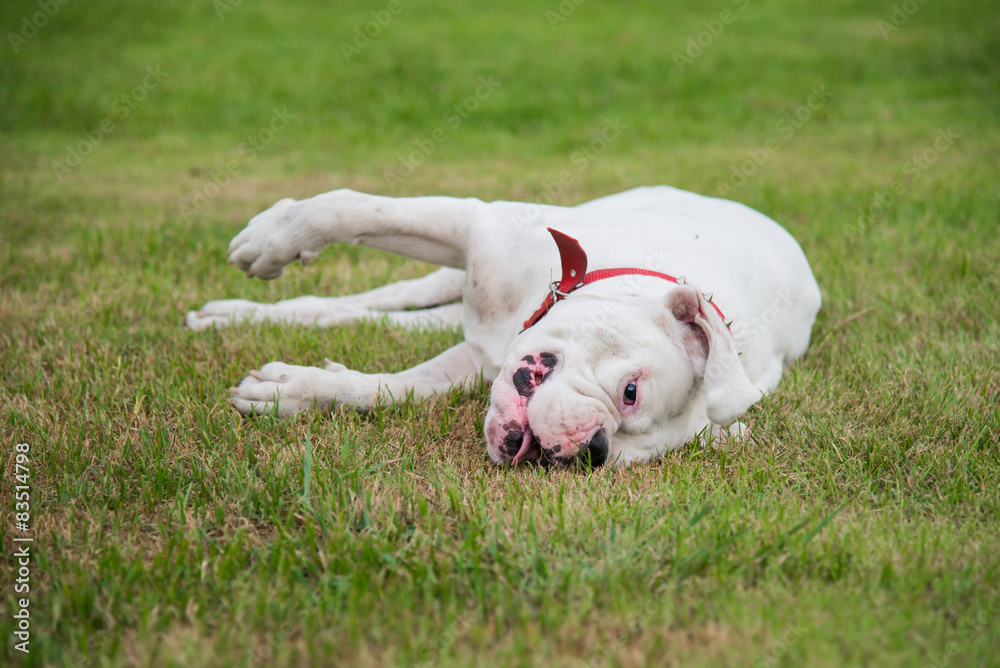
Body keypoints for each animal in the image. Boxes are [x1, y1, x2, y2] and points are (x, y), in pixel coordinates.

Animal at [188, 185, 820, 468]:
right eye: (629, 393)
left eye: (623, 455)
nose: (589, 451)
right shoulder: (475, 225)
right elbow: (351, 208)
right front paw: (276, 238)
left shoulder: (472, 363)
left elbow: (385, 389)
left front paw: (292, 392)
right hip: (444, 273)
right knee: (374, 297)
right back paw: (234, 309)